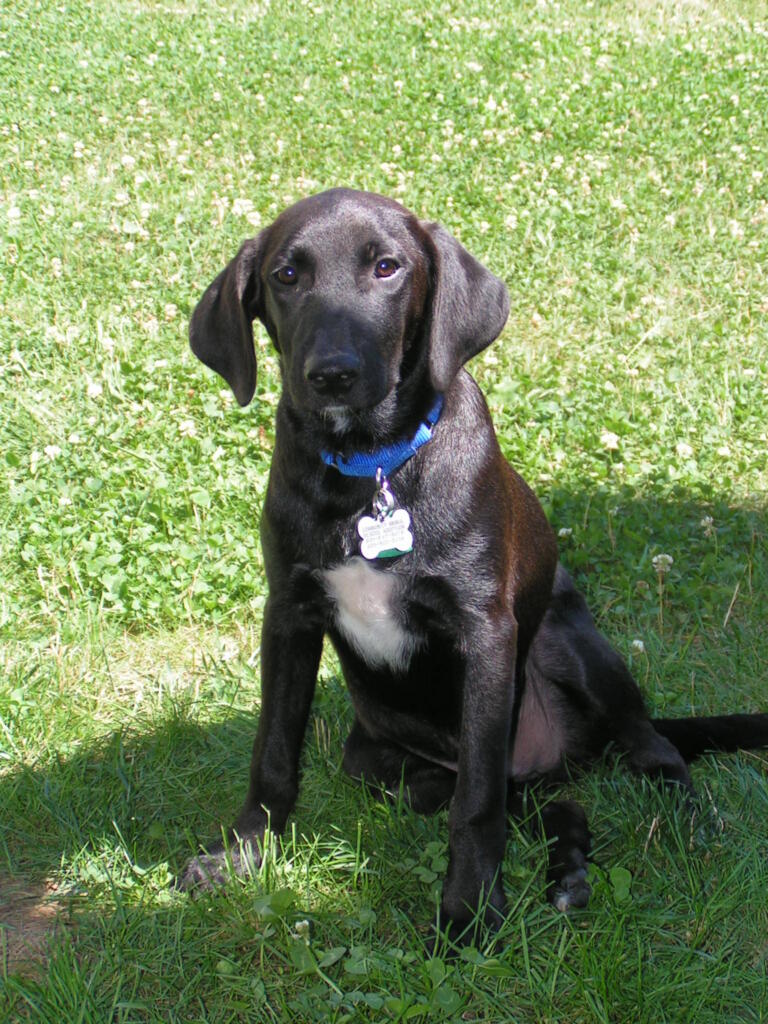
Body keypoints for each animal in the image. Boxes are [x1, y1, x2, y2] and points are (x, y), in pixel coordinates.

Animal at [182, 188, 768, 937]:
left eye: (387, 267)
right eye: (286, 276)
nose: (332, 374)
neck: (371, 469)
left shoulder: (484, 631)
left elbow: (477, 806)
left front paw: (468, 912)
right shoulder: (289, 612)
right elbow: (274, 754)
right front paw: (241, 856)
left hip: (568, 648)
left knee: (646, 750)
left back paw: (686, 824)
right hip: (382, 763)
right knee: (541, 801)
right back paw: (569, 870)